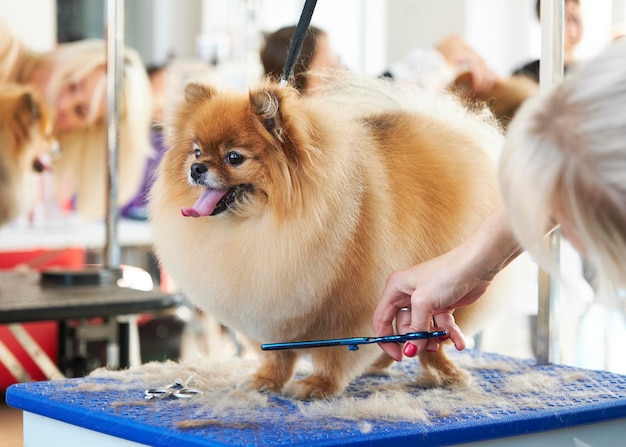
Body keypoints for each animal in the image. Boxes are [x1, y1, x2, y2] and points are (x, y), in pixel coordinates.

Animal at [147, 75, 516, 400]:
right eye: (196, 152)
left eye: (234, 157)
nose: (196, 169)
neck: (261, 226)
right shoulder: (265, 306)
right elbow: (276, 354)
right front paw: (266, 380)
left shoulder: (350, 308)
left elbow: (336, 354)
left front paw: (319, 385)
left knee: (431, 342)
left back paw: (445, 373)